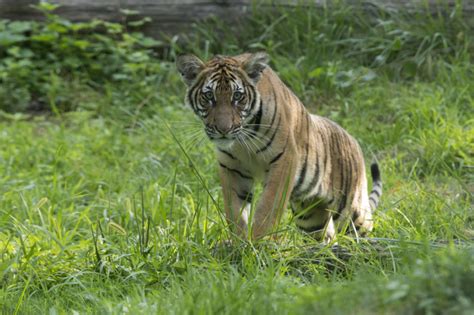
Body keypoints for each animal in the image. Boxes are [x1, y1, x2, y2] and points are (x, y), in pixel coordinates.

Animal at [176, 53, 384, 243]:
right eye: (208, 96)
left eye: (237, 96)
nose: (223, 129)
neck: (242, 139)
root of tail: (353, 140)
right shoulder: (231, 169)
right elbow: (235, 212)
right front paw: (239, 242)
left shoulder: (284, 160)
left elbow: (267, 208)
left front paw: (257, 244)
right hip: (310, 217)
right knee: (325, 237)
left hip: (350, 209)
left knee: (363, 226)